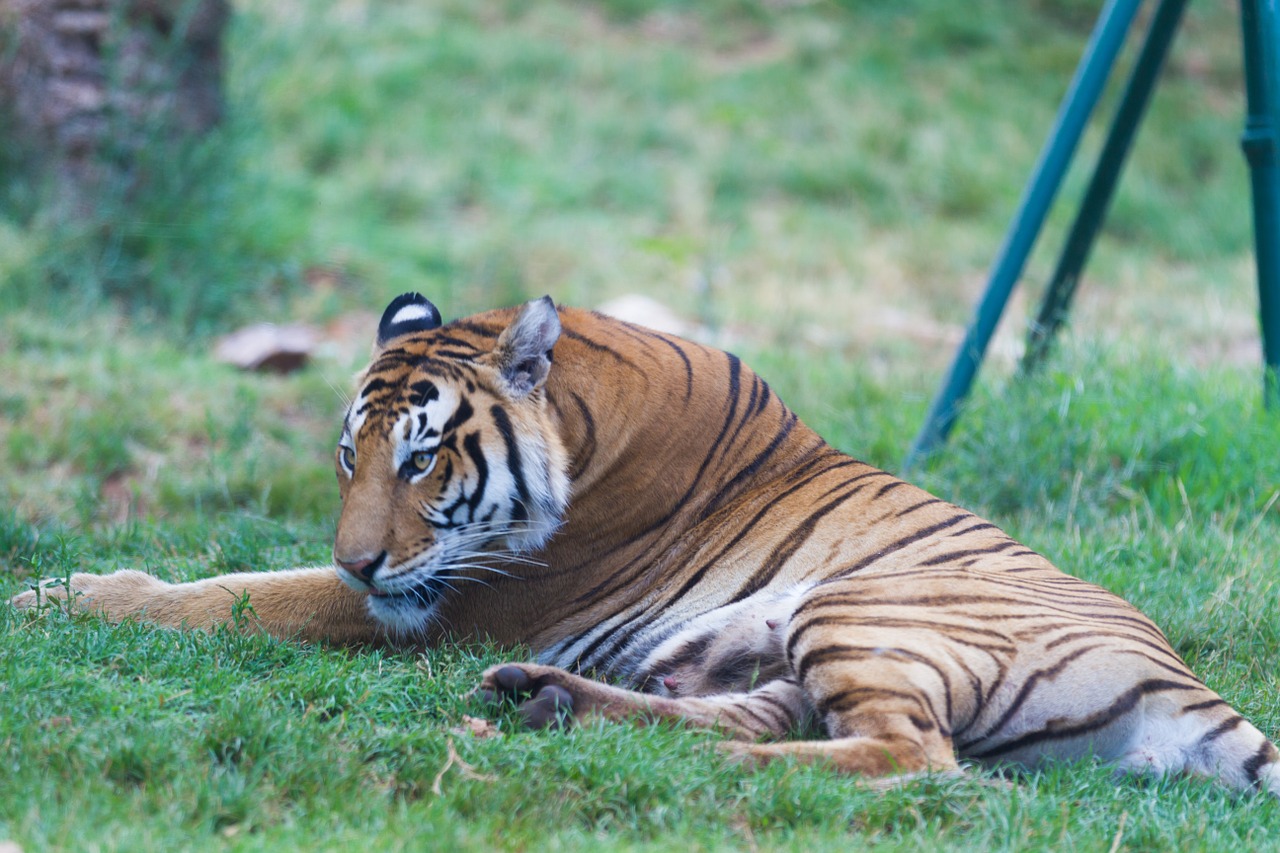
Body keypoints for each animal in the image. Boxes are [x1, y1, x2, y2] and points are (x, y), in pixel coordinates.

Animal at [12, 292, 1280, 788]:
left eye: (420, 461)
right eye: (347, 458)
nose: (359, 559)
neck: (578, 413)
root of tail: (1181, 680)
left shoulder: (454, 593)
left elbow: (238, 591)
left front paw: (53, 595)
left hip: (856, 605)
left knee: (907, 757)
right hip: (788, 641)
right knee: (780, 717)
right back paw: (548, 707)